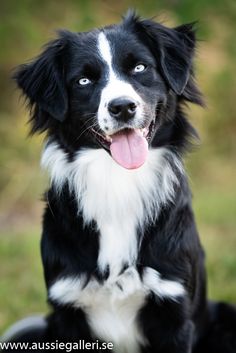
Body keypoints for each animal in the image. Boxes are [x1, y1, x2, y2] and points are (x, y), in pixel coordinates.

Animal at [12, 11, 236, 352]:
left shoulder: (174, 312)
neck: (118, 181)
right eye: (84, 80)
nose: (122, 107)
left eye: (139, 67)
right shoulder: (67, 309)